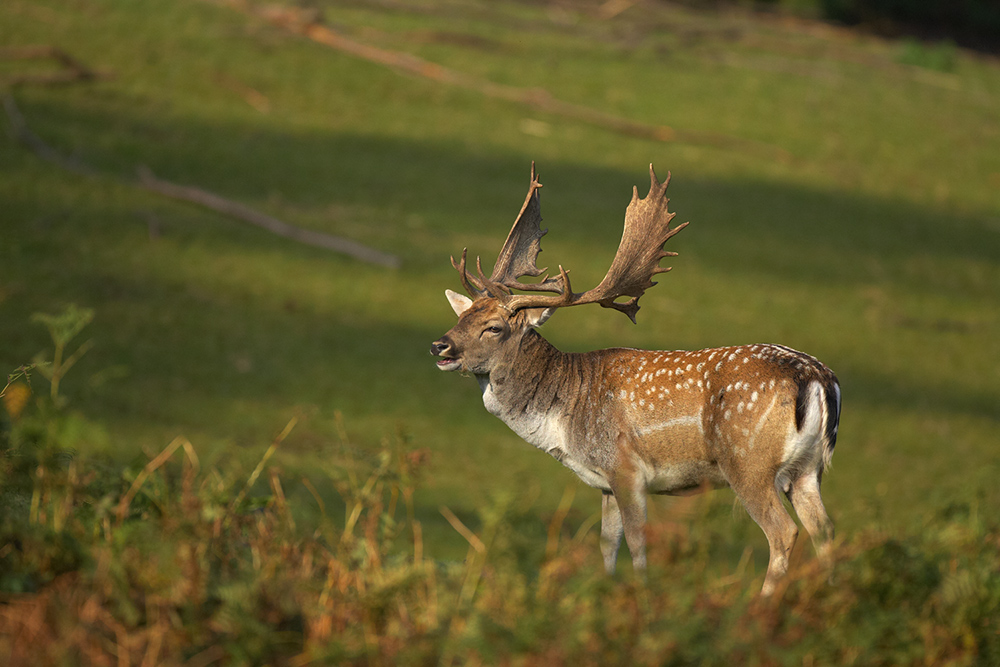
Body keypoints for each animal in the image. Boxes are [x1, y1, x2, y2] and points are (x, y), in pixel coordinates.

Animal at [428, 164, 836, 596]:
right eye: (462, 316)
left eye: (493, 327)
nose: (439, 346)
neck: (565, 414)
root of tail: (817, 378)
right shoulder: (604, 481)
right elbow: (608, 543)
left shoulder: (626, 467)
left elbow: (638, 543)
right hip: (807, 470)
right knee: (824, 530)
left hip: (749, 462)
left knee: (784, 532)